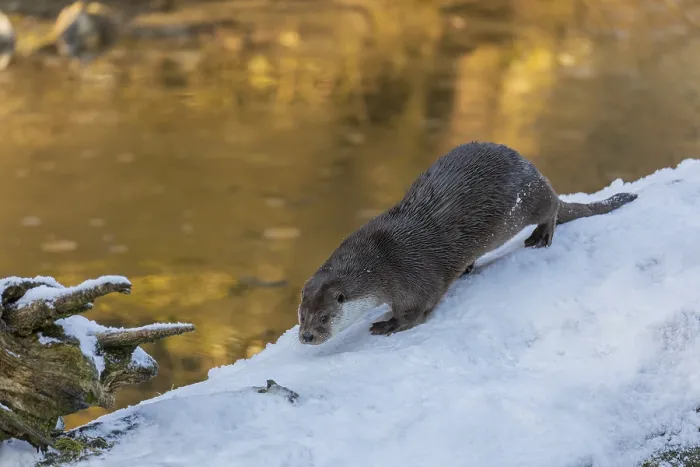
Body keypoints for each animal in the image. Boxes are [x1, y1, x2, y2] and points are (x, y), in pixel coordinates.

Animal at [297, 142, 637, 345]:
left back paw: (542, 236)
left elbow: (415, 313)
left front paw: (387, 325)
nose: (306, 337)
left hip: (530, 198)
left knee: (552, 206)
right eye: (302, 315)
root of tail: (532, 169)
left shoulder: (412, 277)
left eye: (325, 317)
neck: (380, 262)